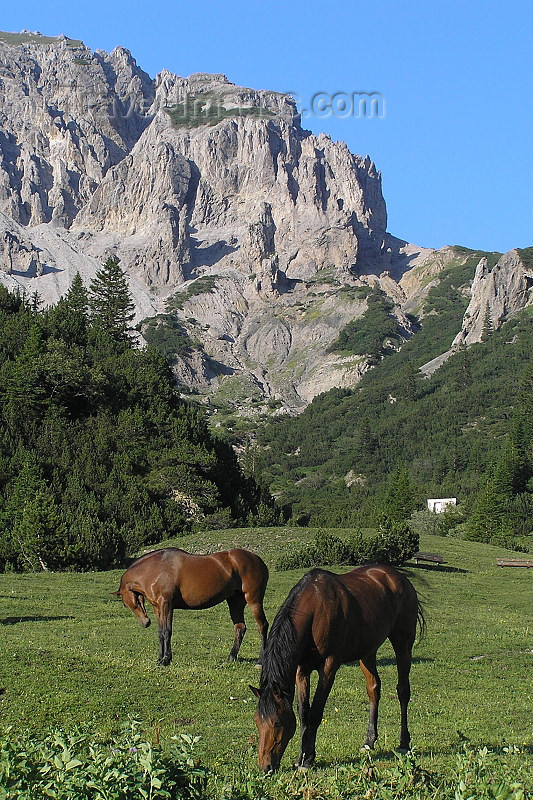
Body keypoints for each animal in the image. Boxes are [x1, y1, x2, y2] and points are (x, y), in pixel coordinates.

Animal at [114, 548, 268, 664]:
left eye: (133, 602)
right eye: (125, 605)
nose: (145, 623)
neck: (154, 569)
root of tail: (258, 560)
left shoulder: (166, 604)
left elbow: (167, 631)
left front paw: (166, 659)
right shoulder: (158, 607)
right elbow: (160, 632)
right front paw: (160, 658)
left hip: (254, 600)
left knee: (262, 626)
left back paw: (260, 661)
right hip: (235, 602)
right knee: (240, 628)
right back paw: (231, 658)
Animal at [249, 560, 424, 772]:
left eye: (275, 722)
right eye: (257, 721)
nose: (265, 766)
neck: (314, 611)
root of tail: (398, 577)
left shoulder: (329, 666)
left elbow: (316, 712)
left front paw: (307, 760)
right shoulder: (302, 670)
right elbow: (303, 713)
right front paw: (302, 756)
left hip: (403, 642)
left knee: (403, 691)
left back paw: (404, 743)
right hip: (367, 652)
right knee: (374, 689)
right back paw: (369, 741)